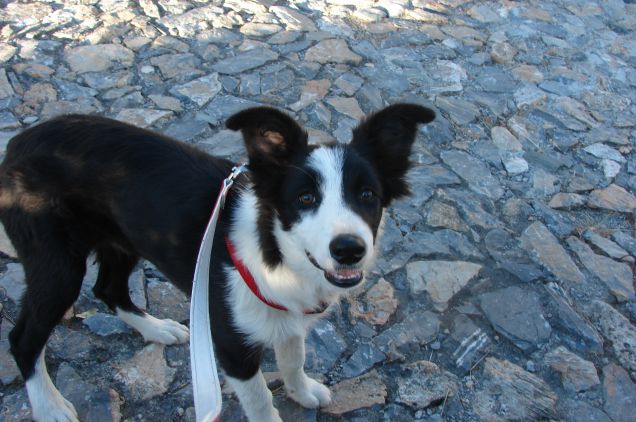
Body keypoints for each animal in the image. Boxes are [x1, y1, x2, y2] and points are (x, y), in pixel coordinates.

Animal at [0, 103, 434, 422]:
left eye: (367, 195)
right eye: (305, 198)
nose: (349, 249)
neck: (275, 255)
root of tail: (17, 143)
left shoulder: (286, 315)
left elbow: (293, 357)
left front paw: (302, 390)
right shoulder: (230, 347)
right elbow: (260, 401)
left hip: (124, 239)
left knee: (108, 288)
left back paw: (157, 330)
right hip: (58, 265)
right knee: (23, 339)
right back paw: (50, 407)